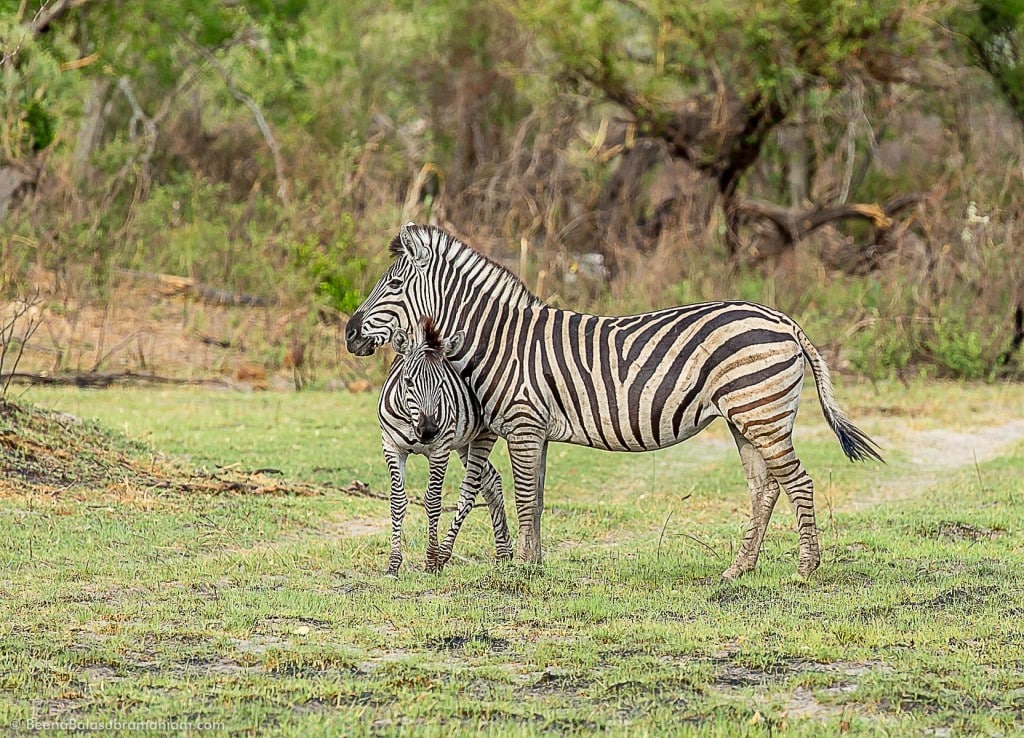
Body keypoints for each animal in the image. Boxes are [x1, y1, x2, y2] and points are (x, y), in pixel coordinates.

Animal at [378, 313, 512, 573]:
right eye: (408, 382)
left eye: (442, 383)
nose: (429, 430)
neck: (411, 421)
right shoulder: (391, 446)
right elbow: (397, 501)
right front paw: (393, 564)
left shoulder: (440, 450)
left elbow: (433, 501)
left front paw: (431, 561)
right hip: (464, 443)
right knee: (491, 480)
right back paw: (504, 552)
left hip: (483, 436)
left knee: (470, 489)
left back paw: (443, 554)